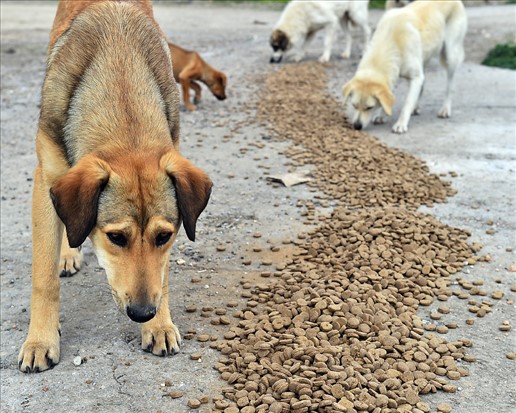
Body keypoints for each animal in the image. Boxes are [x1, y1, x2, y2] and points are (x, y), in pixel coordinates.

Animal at [18, 0, 212, 374]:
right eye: (116, 237)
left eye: (164, 236)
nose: (143, 313)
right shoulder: (45, 181)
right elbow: (43, 279)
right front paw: (40, 341)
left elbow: (162, 274)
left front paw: (160, 325)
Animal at [342, 0, 468, 134]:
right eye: (354, 105)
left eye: (369, 107)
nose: (357, 126)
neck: (390, 40)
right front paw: (382, 114)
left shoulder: (416, 78)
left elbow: (407, 103)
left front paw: (400, 124)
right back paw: (416, 107)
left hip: (450, 56)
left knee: (450, 86)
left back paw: (445, 109)